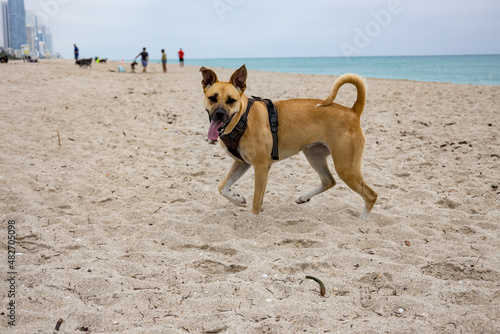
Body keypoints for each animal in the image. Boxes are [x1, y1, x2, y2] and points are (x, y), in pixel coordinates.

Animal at [201, 65, 376, 219]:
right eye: (212, 98)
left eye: (231, 100)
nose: (219, 114)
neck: (243, 118)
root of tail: (353, 111)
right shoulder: (242, 163)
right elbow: (222, 187)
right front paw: (237, 199)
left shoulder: (261, 166)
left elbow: (256, 202)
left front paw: (252, 219)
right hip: (314, 155)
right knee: (329, 181)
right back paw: (304, 197)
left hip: (346, 168)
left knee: (370, 195)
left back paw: (362, 222)